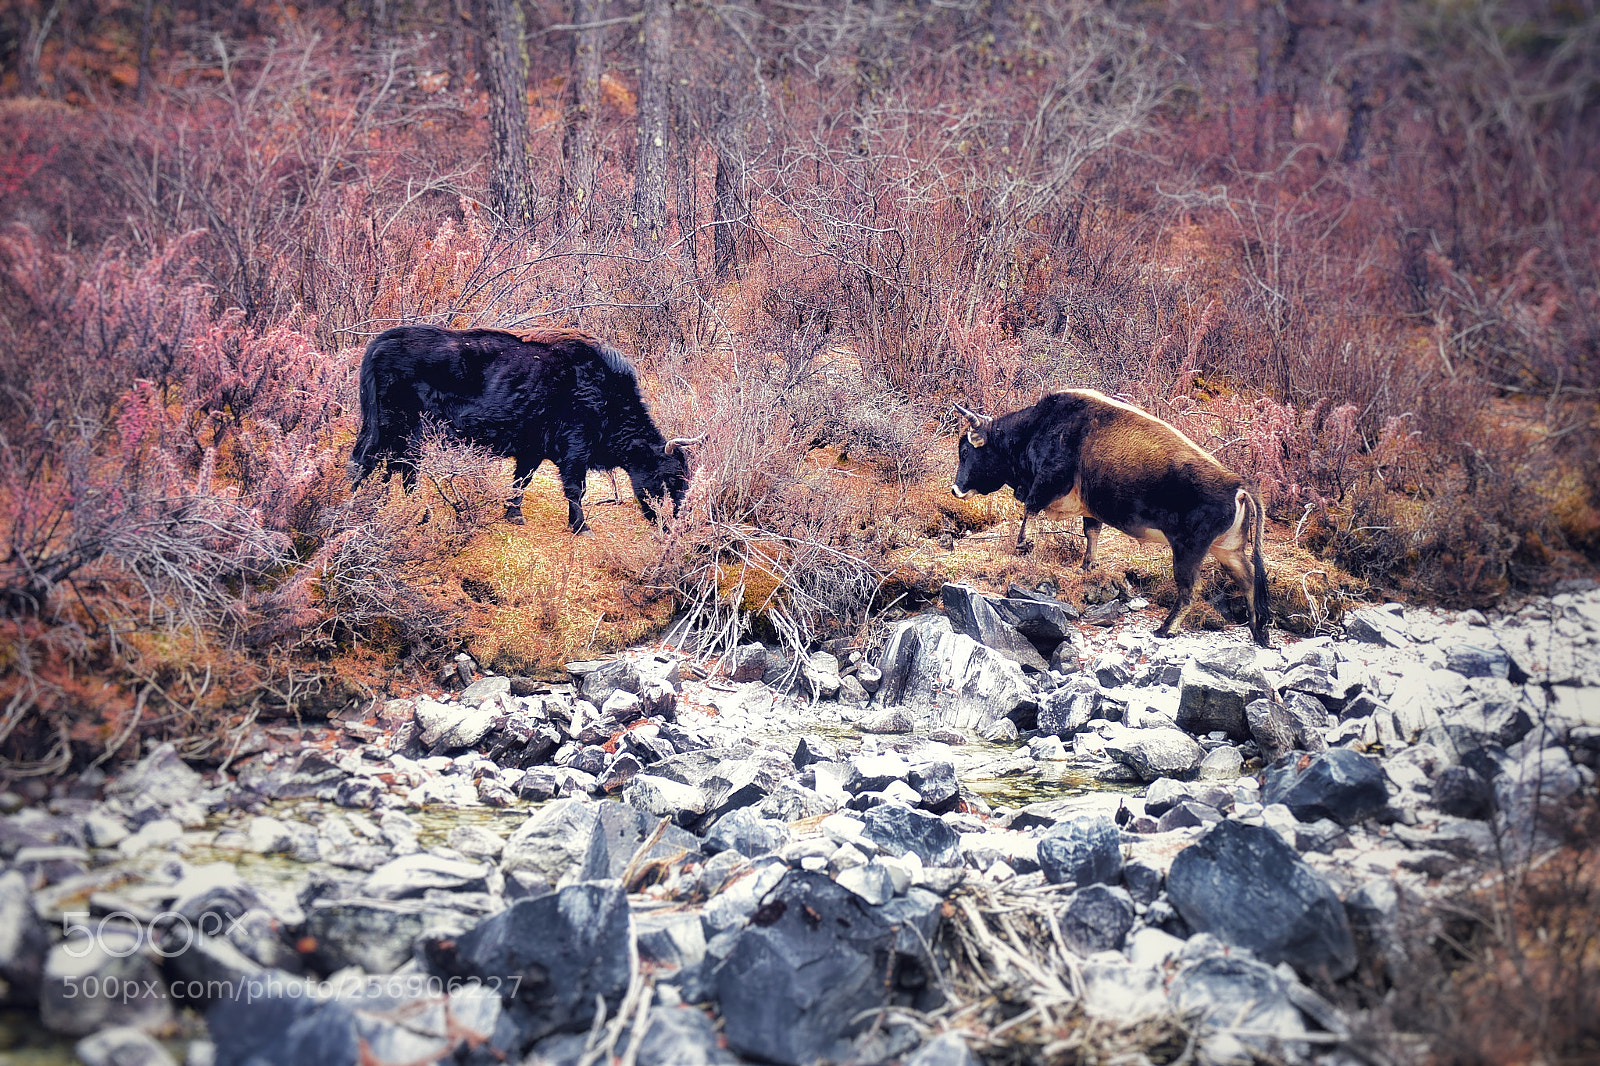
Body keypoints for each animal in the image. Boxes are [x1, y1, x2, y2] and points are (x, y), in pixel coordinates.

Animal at [349, 325, 695, 533]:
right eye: (671, 478)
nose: (676, 525)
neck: (603, 392)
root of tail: (382, 341)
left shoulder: (533, 450)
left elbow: (521, 481)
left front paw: (513, 514)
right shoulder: (575, 451)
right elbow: (575, 489)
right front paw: (580, 526)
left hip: (399, 432)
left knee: (396, 466)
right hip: (393, 427)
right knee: (371, 462)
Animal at [950, 390, 1271, 646]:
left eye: (965, 451)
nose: (955, 490)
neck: (1039, 427)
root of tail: (1238, 485)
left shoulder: (1049, 481)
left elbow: (1030, 508)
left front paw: (1024, 543)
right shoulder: (1090, 510)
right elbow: (1091, 532)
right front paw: (1087, 566)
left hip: (1188, 550)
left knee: (1190, 589)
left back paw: (1165, 629)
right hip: (1228, 551)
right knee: (1248, 580)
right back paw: (1257, 631)